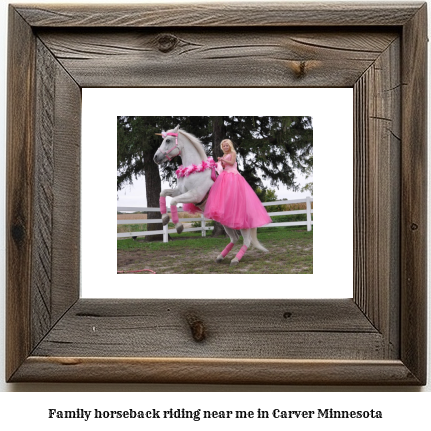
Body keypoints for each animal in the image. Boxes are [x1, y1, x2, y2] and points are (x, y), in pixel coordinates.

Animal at [152, 125, 268, 266]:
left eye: (168, 140)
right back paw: (220, 257)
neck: (195, 171)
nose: (156, 157)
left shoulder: (194, 195)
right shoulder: (181, 191)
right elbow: (163, 193)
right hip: (226, 223)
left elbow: (173, 201)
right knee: (234, 238)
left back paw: (235, 259)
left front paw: (178, 226)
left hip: (242, 224)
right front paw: (164, 218)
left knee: (247, 240)